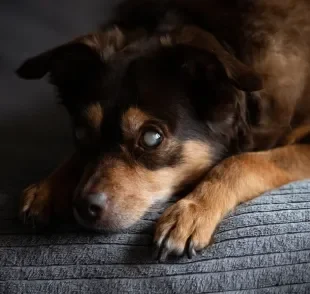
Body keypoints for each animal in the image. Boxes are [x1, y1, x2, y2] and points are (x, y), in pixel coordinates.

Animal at [16, 0, 310, 260]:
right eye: (80, 133)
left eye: (151, 138)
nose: (83, 206)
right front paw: (48, 187)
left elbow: (239, 162)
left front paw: (192, 211)